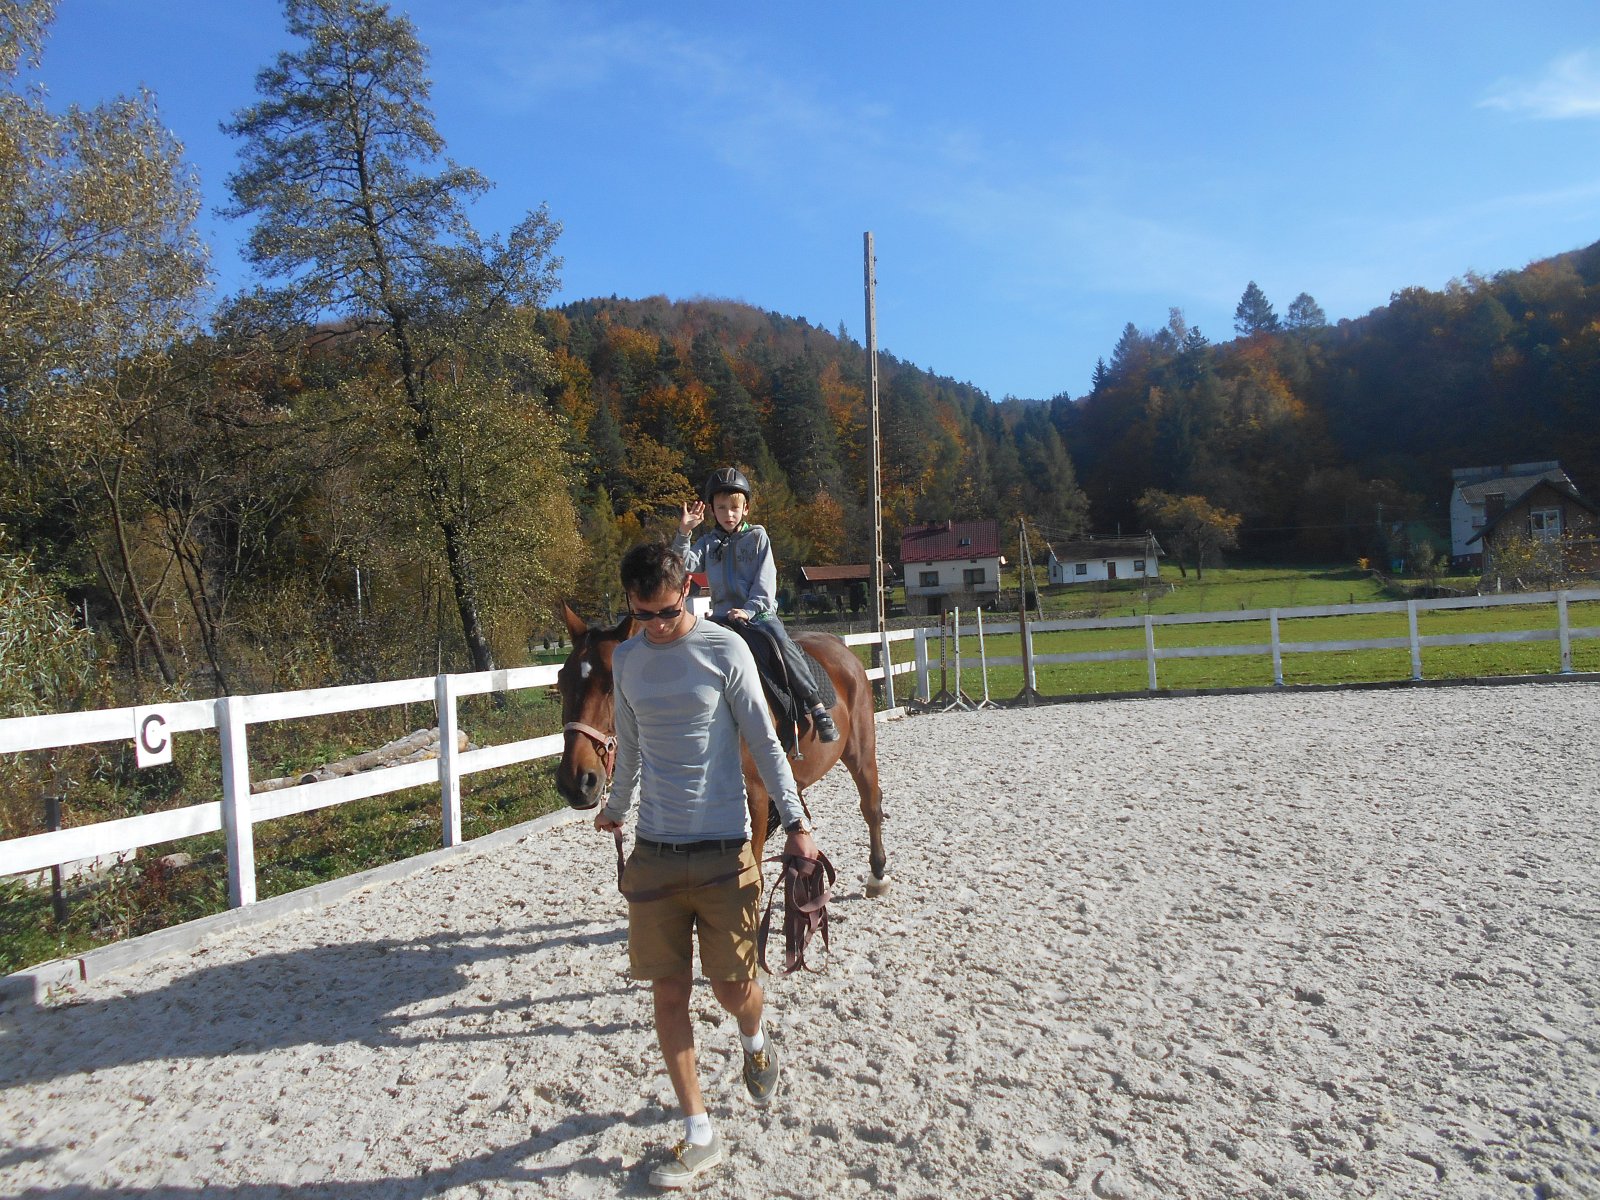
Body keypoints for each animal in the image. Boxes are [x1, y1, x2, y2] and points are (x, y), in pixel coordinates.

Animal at [554, 604, 890, 896]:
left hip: (860, 751)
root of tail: (842, 650)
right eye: (561, 681)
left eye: (613, 682)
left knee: (871, 805)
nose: (576, 781)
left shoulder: (755, 797)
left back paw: (877, 875)